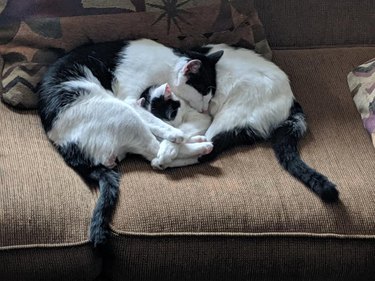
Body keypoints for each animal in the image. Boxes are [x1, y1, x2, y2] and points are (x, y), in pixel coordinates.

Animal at [37, 38, 223, 245]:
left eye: (210, 95)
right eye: (204, 92)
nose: (206, 109)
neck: (165, 66)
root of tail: (71, 151)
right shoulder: (132, 100)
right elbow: (159, 124)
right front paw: (175, 134)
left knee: (156, 155)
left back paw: (199, 145)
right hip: (126, 115)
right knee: (155, 151)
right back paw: (198, 146)